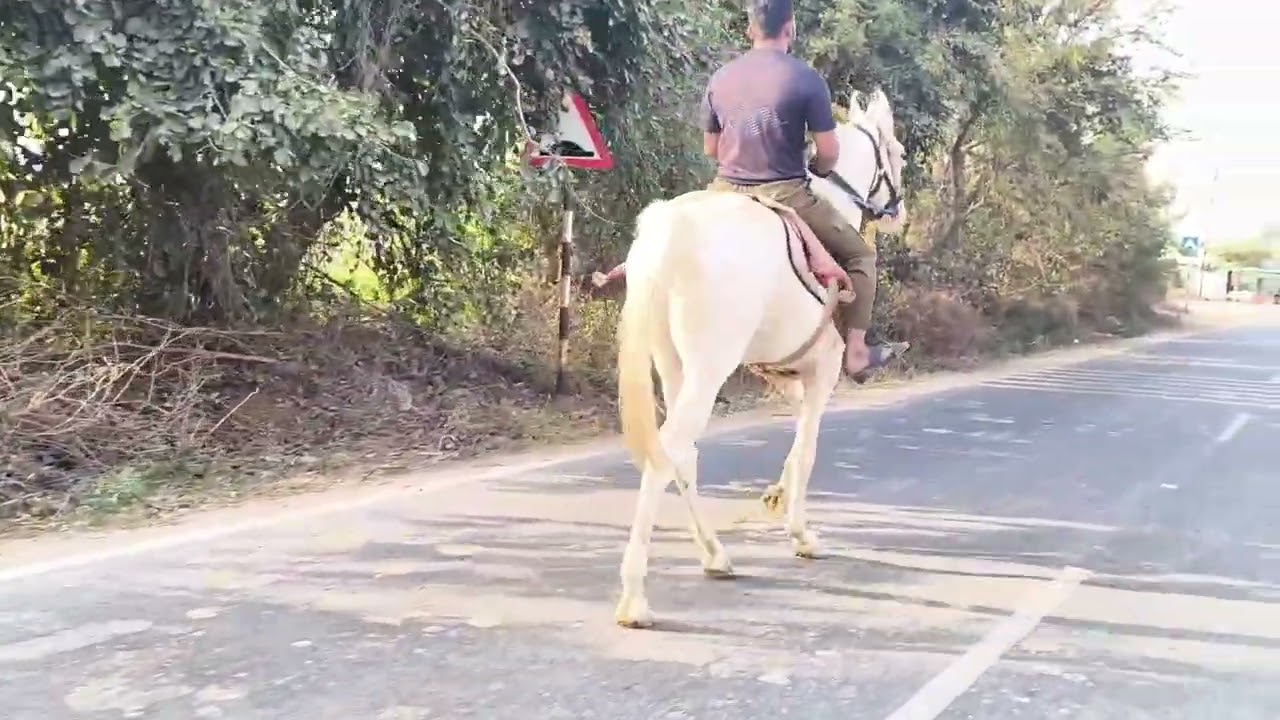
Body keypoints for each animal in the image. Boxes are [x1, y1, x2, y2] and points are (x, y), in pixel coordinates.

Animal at [612, 88, 908, 629]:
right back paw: (635, 595)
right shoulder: (821, 371)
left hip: (674, 366)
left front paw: (777, 495)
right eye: (896, 151)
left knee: (682, 456)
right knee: (668, 453)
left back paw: (714, 555)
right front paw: (801, 533)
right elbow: (807, 449)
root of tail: (668, 232)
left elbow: (794, 446)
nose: (899, 212)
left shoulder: (788, 376)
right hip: (709, 368)